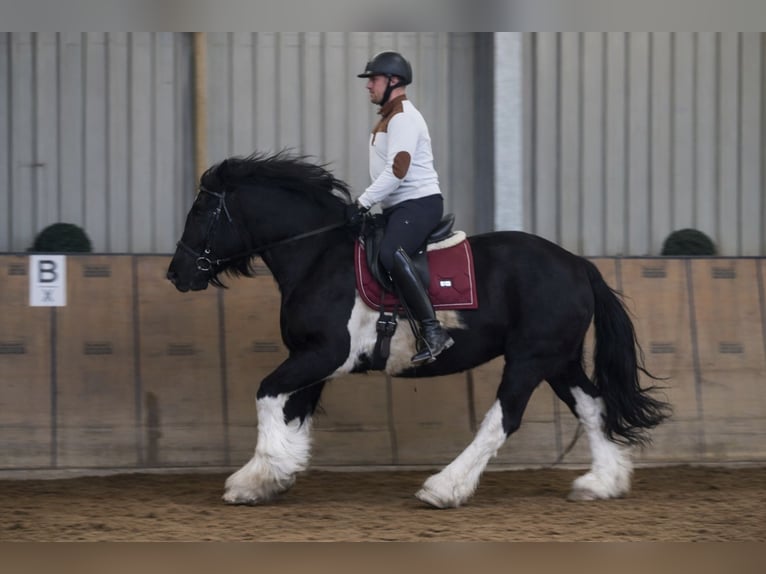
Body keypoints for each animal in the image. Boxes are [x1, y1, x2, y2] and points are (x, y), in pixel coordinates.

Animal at [167, 151, 670, 508]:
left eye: (200, 211)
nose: (176, 274)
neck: (317, 256)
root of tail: (578, 265)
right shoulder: (312, 358)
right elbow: (292, 411)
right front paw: (270, 477)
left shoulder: (324, 354)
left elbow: (267, 395)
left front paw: (257, 475)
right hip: (558, 359)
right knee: (593, 406)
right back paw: (602, 483)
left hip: (530, 359)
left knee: (503, 419)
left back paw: (444, 488)